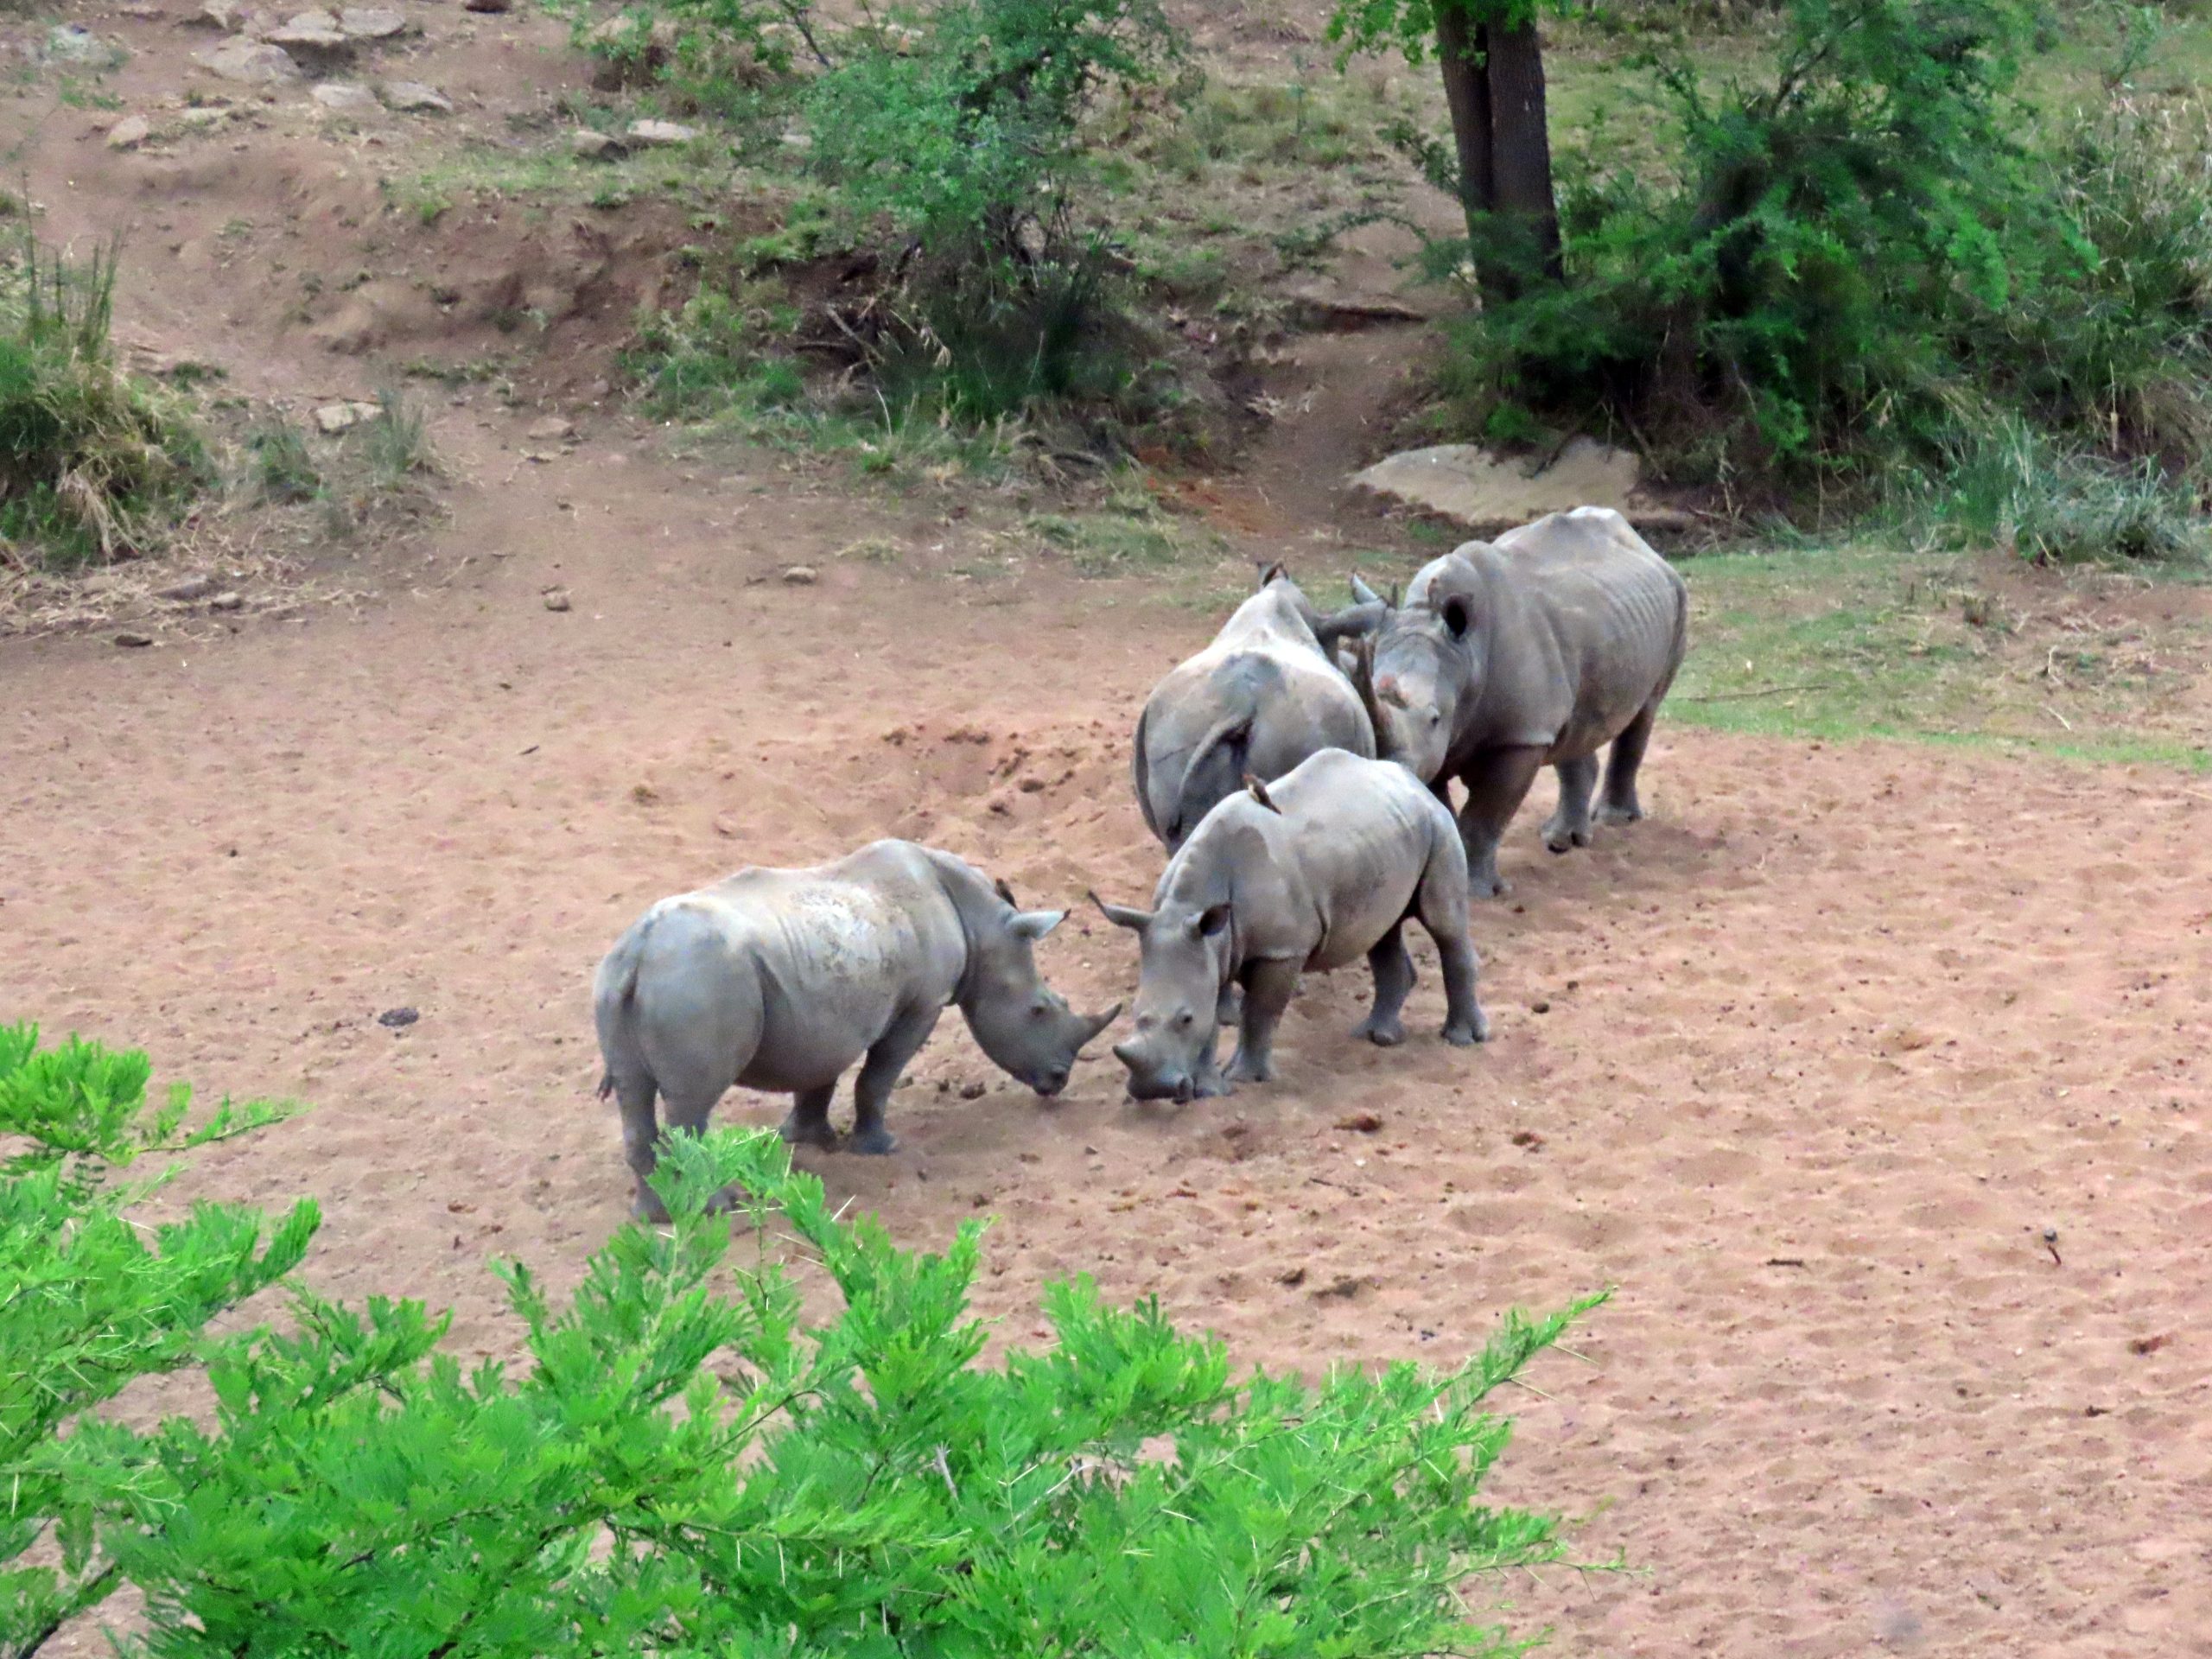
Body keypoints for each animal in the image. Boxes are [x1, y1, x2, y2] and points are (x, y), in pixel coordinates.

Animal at [594, 840, 1119, 1219]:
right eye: (1039, 1010)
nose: (1058, 1080)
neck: (981, 924)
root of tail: (639, 951)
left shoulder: (822, 1012)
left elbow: (818, 1074)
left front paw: (810, 1141)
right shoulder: (922, 1004)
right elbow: (878, 1076)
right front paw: (881, 1148)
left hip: (624, 982)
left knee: (634, 1094)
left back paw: (654, 1216)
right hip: (700, 980)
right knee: (693, 1105)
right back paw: (720, 1209)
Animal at [1093, 749, 1487, 1104]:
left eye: (1185, 1019)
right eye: (1134, 1013)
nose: (1152, 1090)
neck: (1190, 905)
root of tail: (1411, 780)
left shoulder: (1281, 950)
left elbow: (1259, 1012)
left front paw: (1245, 1079)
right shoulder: (1208, 945)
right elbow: (1214, 1015)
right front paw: (1209, 1091)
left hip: (1437, 826)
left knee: (1444, 925)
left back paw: (1461, 1039)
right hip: (1385, 836)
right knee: (1380, 932)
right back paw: (1376, 1037)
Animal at [1350, 506, 1688, 898]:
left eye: (1435, 717)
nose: (1385, 771)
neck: (1465, 657)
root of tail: (1643, 545)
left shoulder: (1519, 737)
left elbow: (1485, 814)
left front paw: (1477, 892)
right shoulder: (1444, 744)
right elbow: (1442, 802)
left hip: (1678, 596)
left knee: (1644, 711)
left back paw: (1616, 822)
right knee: (1575, 724)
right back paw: (1562, 841)